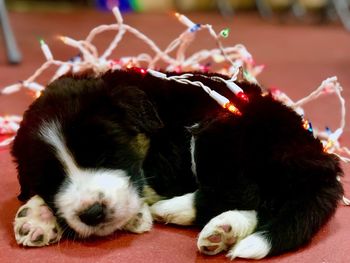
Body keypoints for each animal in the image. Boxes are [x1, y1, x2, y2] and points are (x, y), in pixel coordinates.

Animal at [12, 69, 344, 260]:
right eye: (52, 178)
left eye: (106, 156)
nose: (93, 213)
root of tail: (320, 158)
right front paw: (38, 218)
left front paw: (136, 216)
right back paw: (223, 231)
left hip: (221, 130)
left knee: (246, 193)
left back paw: (176, 211)